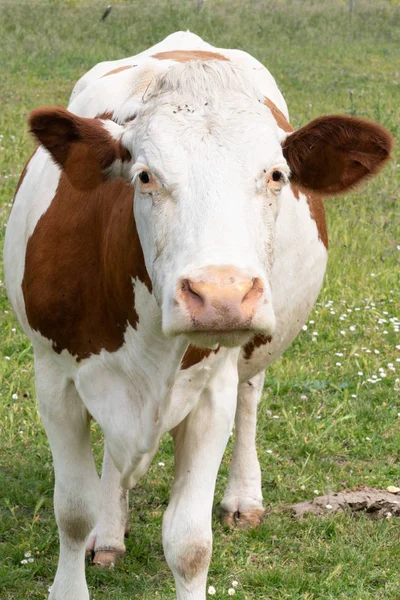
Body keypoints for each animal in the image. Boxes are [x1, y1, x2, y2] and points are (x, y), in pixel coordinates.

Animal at [4, 31, 392, 600]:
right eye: (144, 175)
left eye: (276, 174)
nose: (222, 295)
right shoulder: (54, 378)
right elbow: (73, 513)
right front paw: (88, 547)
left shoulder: (212, 392)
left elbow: (189, 544)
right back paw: (111, 530)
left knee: (251, 399)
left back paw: (242, 499)